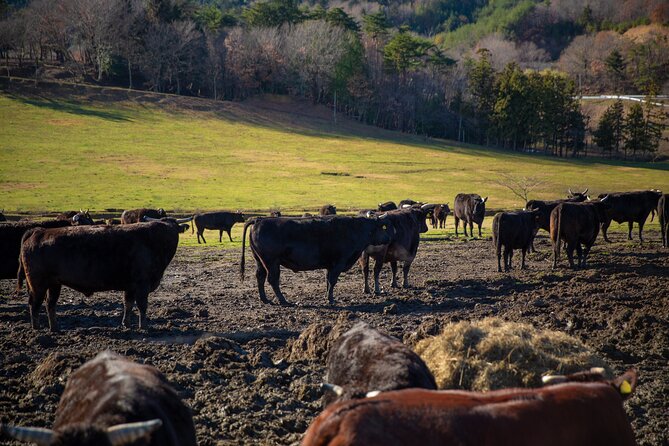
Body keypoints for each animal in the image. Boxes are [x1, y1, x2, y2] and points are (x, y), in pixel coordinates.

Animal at [17, 216, 190, 332]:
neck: (155, 239)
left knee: (50, 304)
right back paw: (37, 328)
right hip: (38, 284)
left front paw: (126, 324)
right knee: (34, 304)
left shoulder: (130, 286)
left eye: (175, 228)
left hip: (54, 284)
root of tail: (38, 231)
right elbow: (142, 305)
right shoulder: (142, 284)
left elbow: (128, 304)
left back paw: (55, 328)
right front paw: (144, 326)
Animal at [240, 216, 394, 306]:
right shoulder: (338, 263)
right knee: (272, 280)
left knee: (260, 277)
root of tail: (259, 220)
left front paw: (328, 296)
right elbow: (332, 281)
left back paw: (265, 299)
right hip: (271, 262)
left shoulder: (330, 265)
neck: (355, 229)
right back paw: (283, 300)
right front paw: (331, 299)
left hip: (260, 261)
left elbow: (327, 281)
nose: (389, 238)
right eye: (383, 228)